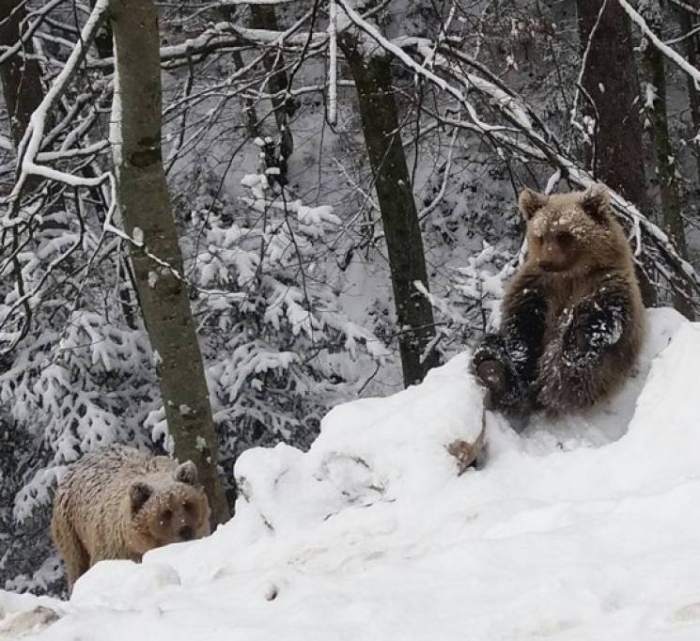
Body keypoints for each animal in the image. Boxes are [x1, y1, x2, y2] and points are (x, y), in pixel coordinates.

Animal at [50, 444, 211, 592]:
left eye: (187, 504)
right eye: (165, 512)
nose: (186, 530)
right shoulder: (115, 549)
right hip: (71, 532)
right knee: (76, 564)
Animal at [474, 185, 648, 416]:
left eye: (564, 234)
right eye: (540, 235)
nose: (547, 261)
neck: (570, 274)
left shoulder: (606, 281)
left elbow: (603, 314)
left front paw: (575, 343)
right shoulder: (539, 284)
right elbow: (523, 319)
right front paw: (522, 360)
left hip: (605, 369)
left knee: (570, 372)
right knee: (489, 346)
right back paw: (494, 373)